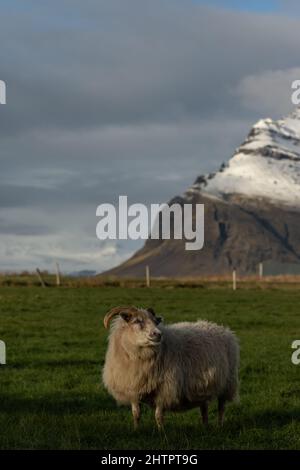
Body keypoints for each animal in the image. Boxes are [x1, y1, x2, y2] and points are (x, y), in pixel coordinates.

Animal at [102, 304, 240, 430]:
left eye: (155, 321)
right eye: (137, 321)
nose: (158, 334)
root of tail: (221, 328)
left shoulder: (164, 389)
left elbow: (158, 416)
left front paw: (161, 433)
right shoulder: (133, 390)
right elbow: (136, 414)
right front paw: (136, 430)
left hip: (227, 383)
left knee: (221, 407)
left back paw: (220, 425)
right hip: (204, 386)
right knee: (204, 407)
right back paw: (205, 426)